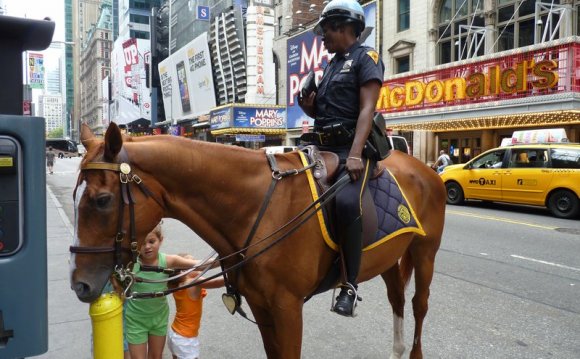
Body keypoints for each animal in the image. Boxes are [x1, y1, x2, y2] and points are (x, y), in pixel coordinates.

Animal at [70, 122, 446, 358]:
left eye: (102, 200)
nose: (80, 285)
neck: (257, 207)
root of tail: (425, 170)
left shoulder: (288, 309)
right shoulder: (262, 306)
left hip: (425, 251)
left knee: (418, 304)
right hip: (387, 257)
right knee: (397, 298)